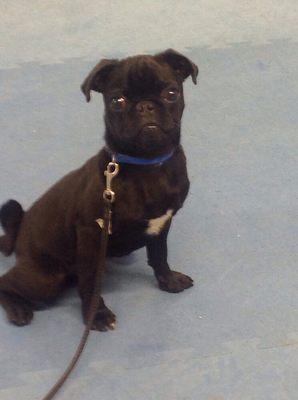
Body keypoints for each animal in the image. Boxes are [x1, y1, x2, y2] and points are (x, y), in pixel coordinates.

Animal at [0, 49, 200, 332]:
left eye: (171, 93)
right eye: (117, 101)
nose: (145, 106)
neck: (147, 165)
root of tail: (18, 233)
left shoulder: (162, 224)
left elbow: (159, 255)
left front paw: (168, 280)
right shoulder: (91, 235)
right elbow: (91, 283)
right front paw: (97, 315)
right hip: (46, 279)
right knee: (6, 282)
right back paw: (18, 309)